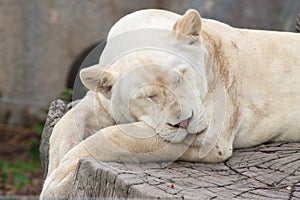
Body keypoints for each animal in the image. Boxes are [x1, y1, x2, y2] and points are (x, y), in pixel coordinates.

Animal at [40, 9, 300, 198]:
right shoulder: (101, 103)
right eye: (149, 97)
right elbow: (65, 126)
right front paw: (55, 168)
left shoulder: (210, 138)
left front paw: (57, 182)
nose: (184, 121)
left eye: (181, 76)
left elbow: (113, 137)